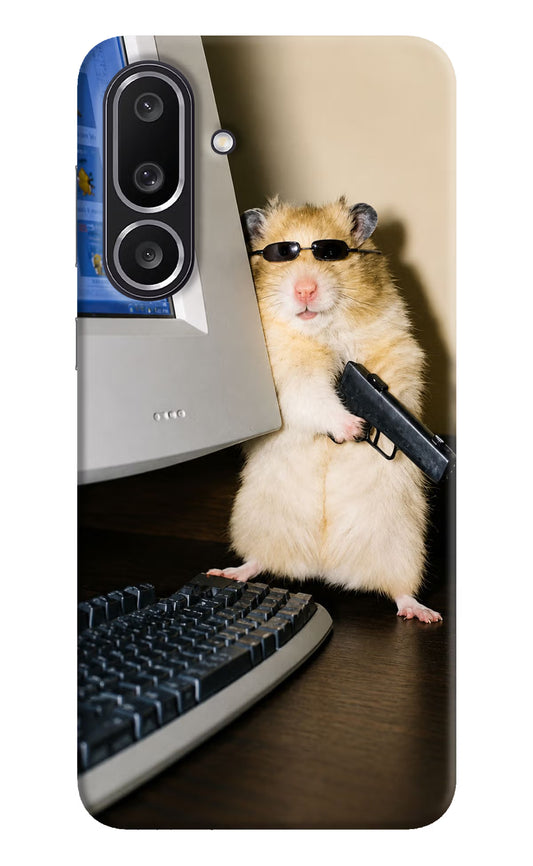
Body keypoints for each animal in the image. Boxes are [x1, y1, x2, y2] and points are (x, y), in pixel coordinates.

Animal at [208, 197, 442, 623]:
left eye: (331, 253)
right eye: (281, 254)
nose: (305, 289)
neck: (321, 330)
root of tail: (325, 567)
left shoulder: (398, 350)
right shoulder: (287, 378)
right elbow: (314, 398)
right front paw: (353, 428)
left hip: (403, 545)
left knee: (400, 590)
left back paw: (423, 613)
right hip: (257, 522)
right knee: (258, 561)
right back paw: (229, 572)